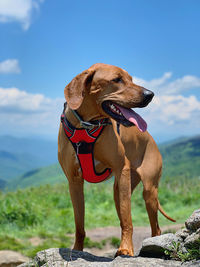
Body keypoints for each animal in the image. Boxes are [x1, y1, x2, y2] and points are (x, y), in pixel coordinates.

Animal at [58, 63, 175, 258]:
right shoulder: (74, 182)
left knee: (155, 227)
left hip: (148, 190)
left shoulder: (122, 168)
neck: (86, 125)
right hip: (119, 189)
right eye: (117, 79)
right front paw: (77, 250)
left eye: (131, 79)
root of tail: (151, 138)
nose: (150, 94)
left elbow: (128, 220)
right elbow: (79, 224)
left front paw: (126, 249)